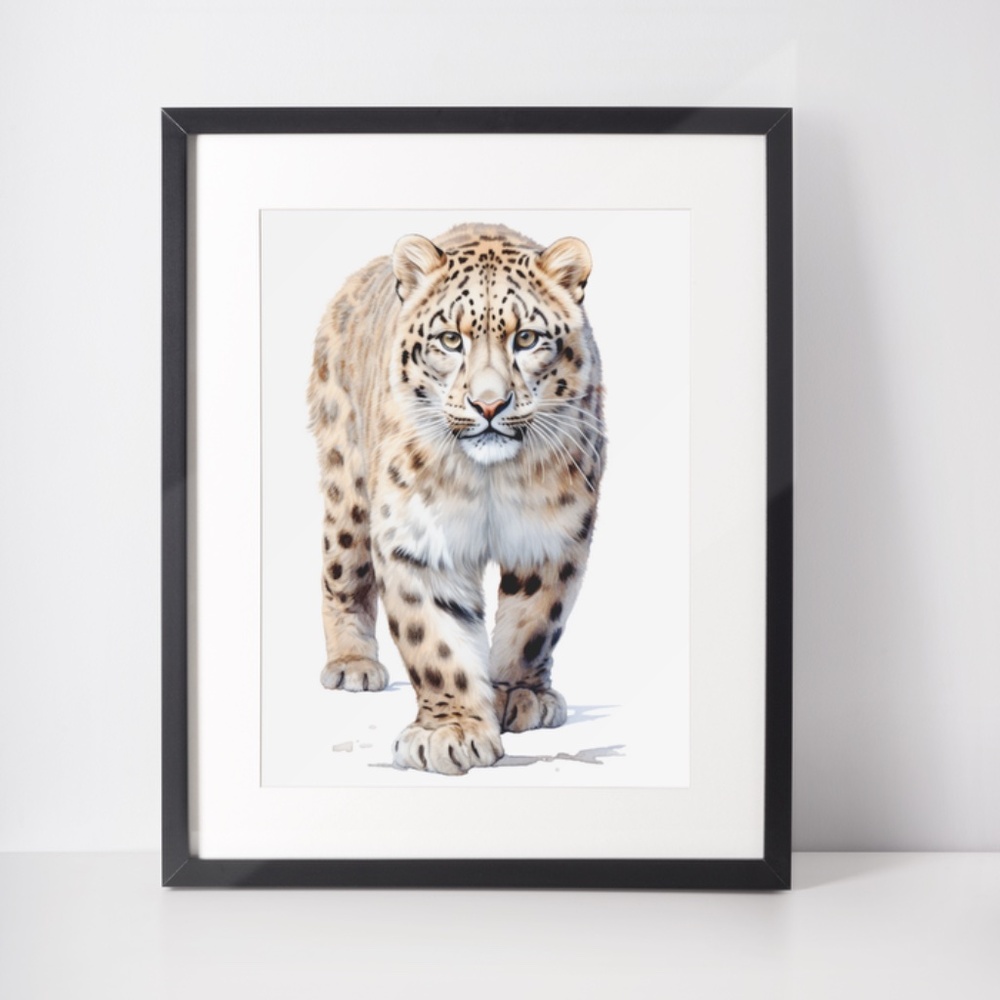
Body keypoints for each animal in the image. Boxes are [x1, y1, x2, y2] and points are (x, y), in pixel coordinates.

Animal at [306, 222, 605, 775]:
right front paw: (452, 732)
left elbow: (533, 622)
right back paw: (352, 664)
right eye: (451, 338)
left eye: (526, 338)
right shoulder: (418, 537)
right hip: (347, 489)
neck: (489, 482)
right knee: (341, 573)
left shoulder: (553, 536)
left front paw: (519, 695)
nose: (488, 404)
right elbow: (436, 640)